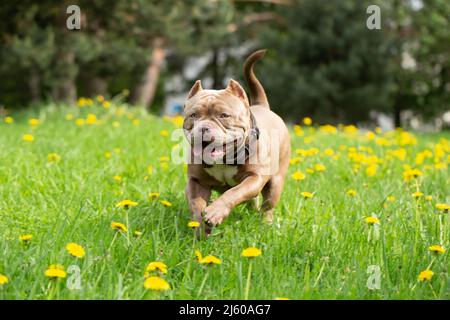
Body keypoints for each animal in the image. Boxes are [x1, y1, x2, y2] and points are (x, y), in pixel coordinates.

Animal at [184, 48, 292, 231]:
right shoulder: (196, 181)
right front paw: (201, 226)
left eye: (224, 115)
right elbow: (196, 204)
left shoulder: (254, 178)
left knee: (267, 205)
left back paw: (265, 224)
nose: (203, 128)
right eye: (193, 115)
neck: (225, 159)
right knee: (253, 201)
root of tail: (263, 106)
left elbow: (233, 192)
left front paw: (215, 212)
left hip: (276, 182)